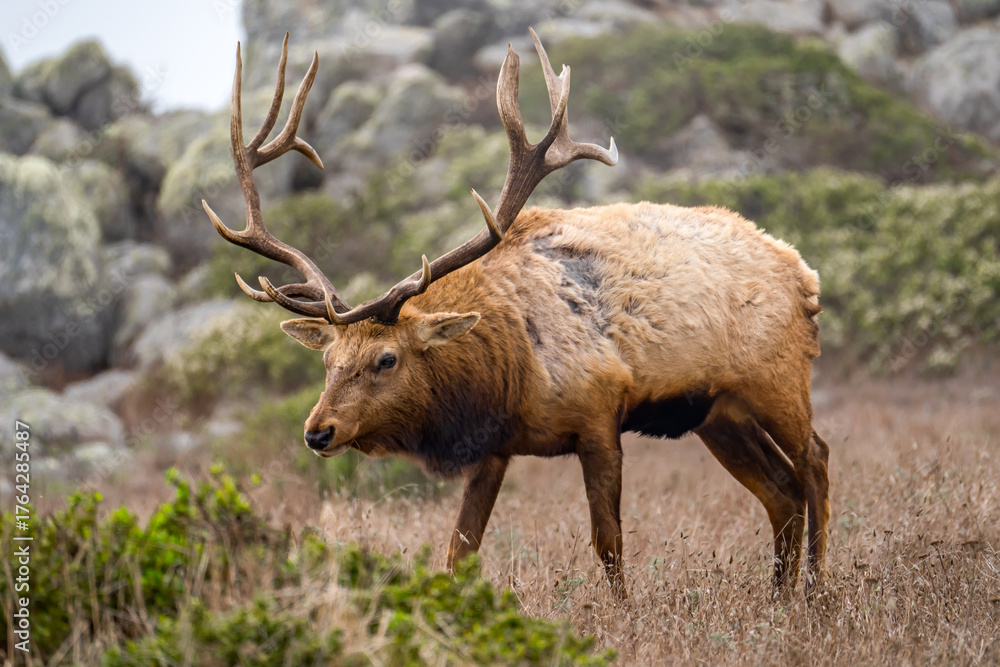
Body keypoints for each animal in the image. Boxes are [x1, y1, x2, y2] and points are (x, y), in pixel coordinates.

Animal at [203, 30, 830, 599]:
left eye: (386, 358)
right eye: (328, 359)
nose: (317, 431)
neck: (507, 370)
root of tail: (804, 273)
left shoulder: (600, 414)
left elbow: (608, 543)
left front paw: (623, 613)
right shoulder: (496, 448)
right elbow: (458, 552)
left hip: (778, 380)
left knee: (815, 464)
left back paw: (816, 593)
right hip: (718, 412)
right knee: (781, 491)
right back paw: (779, 595)